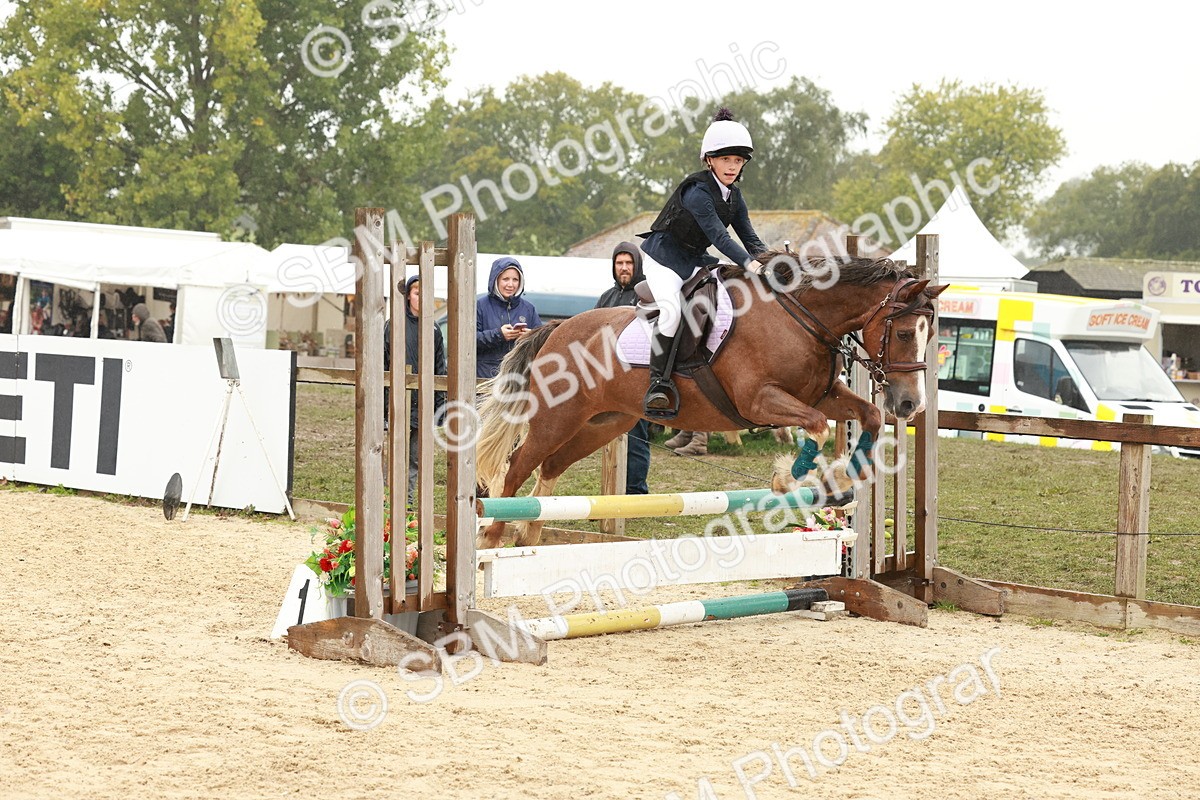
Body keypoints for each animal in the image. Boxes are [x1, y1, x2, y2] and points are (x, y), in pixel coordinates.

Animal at [475, 253, 948, 549]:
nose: (911, 406)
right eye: (904, 333)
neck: (802, 320)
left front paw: (844, 478)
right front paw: (789, 480)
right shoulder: (759, 401)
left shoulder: (823, 394)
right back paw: (492, 537)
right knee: (517, 467)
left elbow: (866, 416)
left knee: (552, 466)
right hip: (557, 418)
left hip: (604, 423)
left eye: (929, 335)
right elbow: (815, 426)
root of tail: (558, 328)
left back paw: (529, 535)